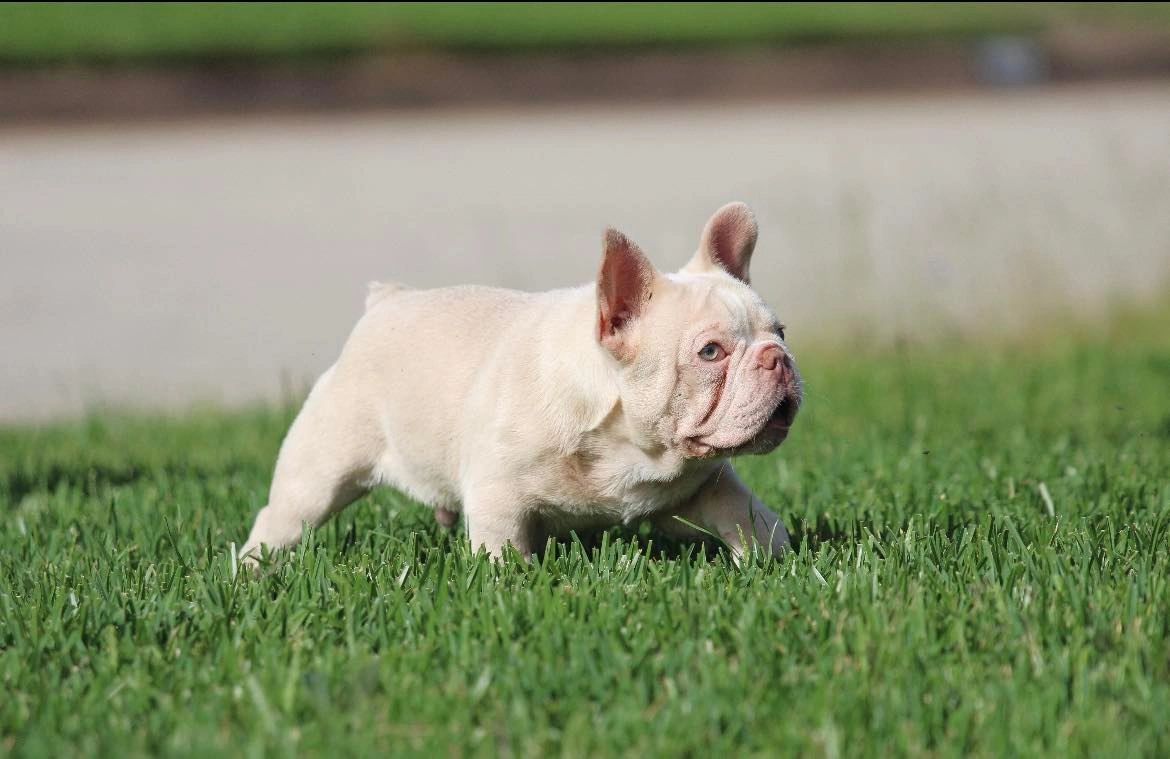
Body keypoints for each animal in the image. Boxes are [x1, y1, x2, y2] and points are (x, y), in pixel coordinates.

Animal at [241, 201, 800, 561]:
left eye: (780, 333)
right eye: (710, 352)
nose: (779, 360)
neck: (630, 443)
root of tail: (386, 302)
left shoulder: (701, 483)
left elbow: (747, 514)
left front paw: (773, 557)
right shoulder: (498, 495)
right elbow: (504, 549)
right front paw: (513, 583)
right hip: (320, 468)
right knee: (283, 517)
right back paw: (255, 569)